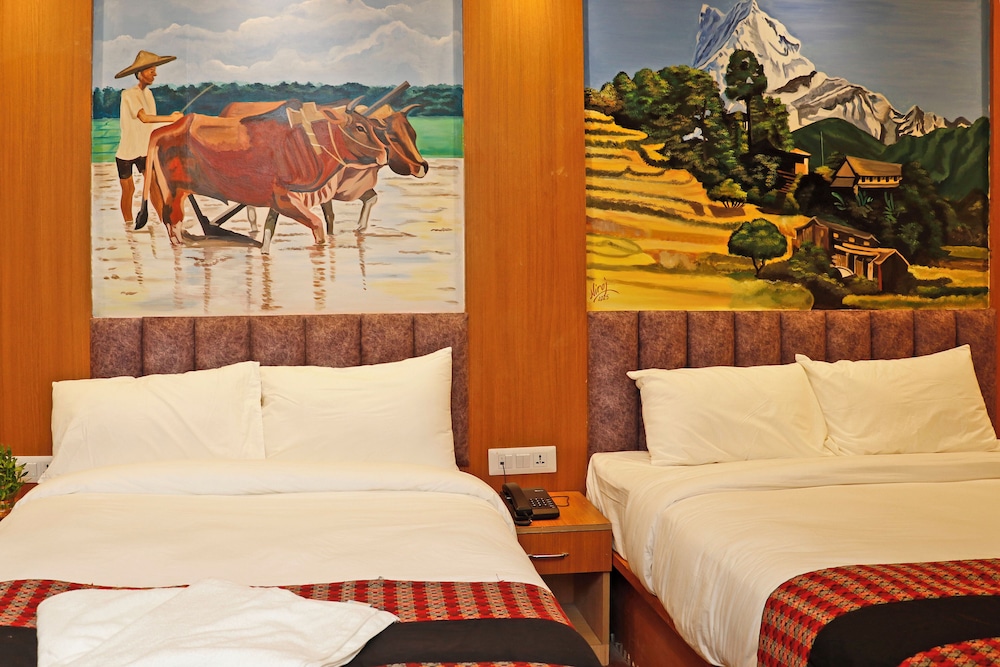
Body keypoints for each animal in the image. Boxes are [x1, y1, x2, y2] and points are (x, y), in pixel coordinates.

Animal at [136, 99, 386, 246]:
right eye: (359, 127)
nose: (384, 154)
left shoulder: (277, 203)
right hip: (172, 195)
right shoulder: (285, 199)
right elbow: (318, 226)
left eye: (371, 126)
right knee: (174, 228)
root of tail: (162, 130)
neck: (308, 140)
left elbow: (268, 233)